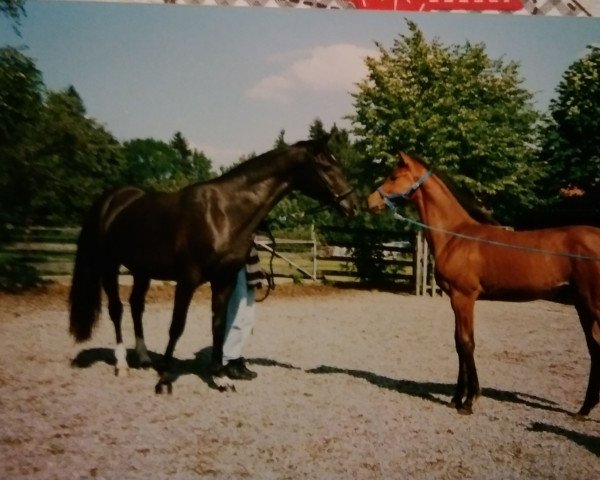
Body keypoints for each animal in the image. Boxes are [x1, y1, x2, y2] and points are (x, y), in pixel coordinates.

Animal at [70, 137, 360, 392]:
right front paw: (165, 376)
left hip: (142, 271)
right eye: (326, 166)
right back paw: (122, 364)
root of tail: (111, 200)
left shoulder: (224, 280)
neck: (223, 213)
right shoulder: (187, 280)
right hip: (109, 266)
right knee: (116, 309)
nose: (352, 206)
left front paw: (221, 378)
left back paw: (143, 358)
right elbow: (177, 326)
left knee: (136, 306)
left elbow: (219, 326)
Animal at [366, 153, 600, 416]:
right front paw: (456, 398)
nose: (370, 201)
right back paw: (584, 409)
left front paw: (469, 401)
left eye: (394, 177)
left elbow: (467, 343)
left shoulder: (463, 298)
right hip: (582, 305)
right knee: (594, 349)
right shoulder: (456, 300)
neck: (455, 236)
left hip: (593, 304)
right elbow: (458, 343)